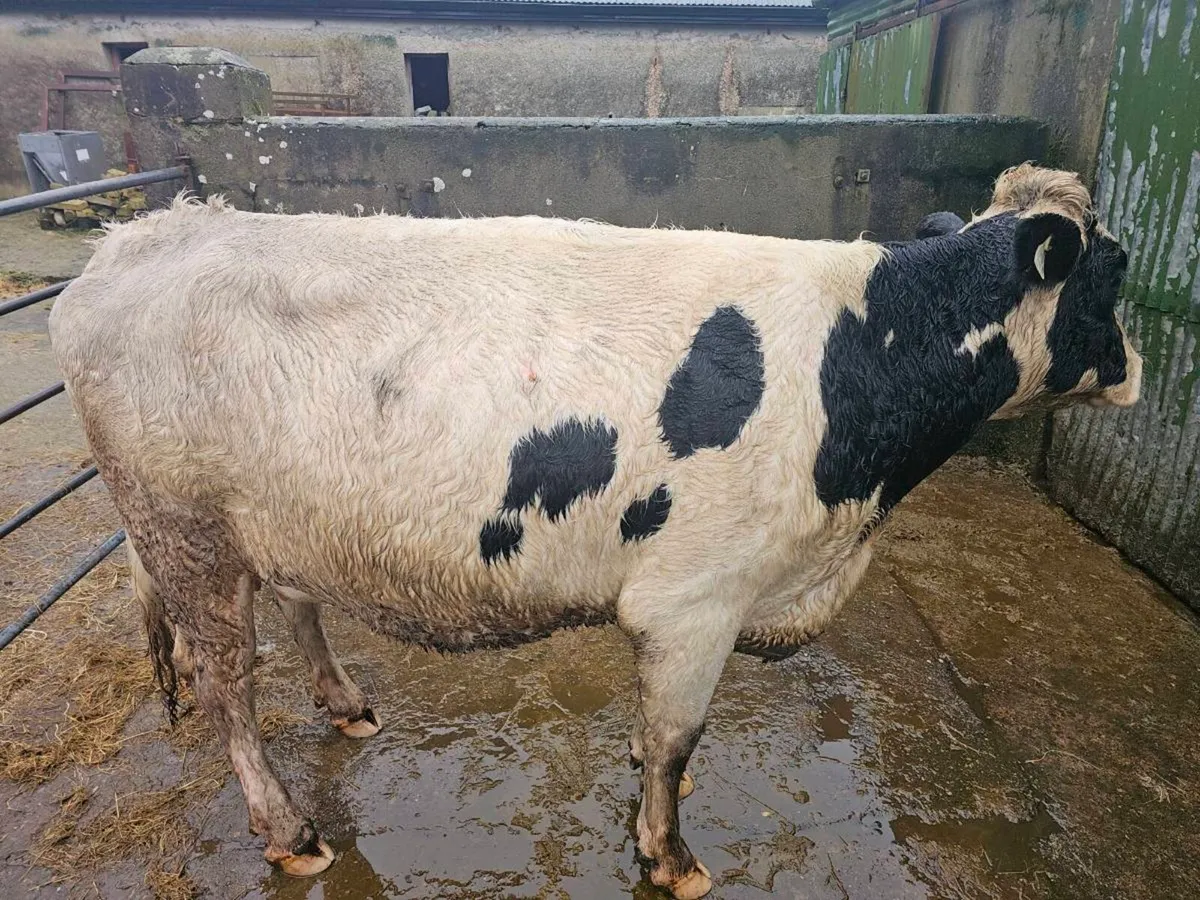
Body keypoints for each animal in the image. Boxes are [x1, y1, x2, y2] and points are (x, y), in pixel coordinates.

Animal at [48, 163, 1140, 899]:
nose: (1136, 369)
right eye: (1117, 271)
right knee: (225, 685)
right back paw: (289, 830)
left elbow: (656, 731)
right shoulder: (695, 599)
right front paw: (671, 856)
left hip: (267, 524)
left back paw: (346, 703)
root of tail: (134, 241)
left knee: (297, 609)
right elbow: (678, 739)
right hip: (184, 531)